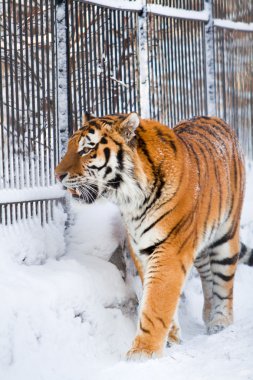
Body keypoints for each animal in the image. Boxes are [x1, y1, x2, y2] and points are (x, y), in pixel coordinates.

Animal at [55, 112, 253, 360]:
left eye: (86, 150)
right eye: (69, 147)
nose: (57, 175)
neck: (131, 202)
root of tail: (214, 117)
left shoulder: (171, 248)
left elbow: (157, 299)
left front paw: (143, 351)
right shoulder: (141, 248)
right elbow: (155, 295)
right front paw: (172, 338)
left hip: (225, 236)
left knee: (224, 281)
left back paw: (220, 322)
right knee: (207, 276)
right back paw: (209, 317)